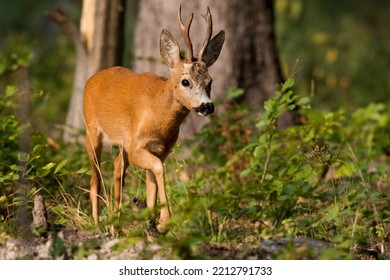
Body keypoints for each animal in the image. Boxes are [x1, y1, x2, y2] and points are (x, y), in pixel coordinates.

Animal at [84, 6, 225, 231]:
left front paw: (152, 223)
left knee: (117, 169)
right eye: (185, 81)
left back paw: (116, 225)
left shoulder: (161, 150)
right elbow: (159, 169)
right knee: (95, 178)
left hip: (122, 145)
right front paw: (165, 220)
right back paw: (98, 225)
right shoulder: (137, 147)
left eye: (210, 81)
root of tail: (92, 78)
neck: (159, 116)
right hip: (92, 131)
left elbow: (151, 185)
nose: (207, 106)